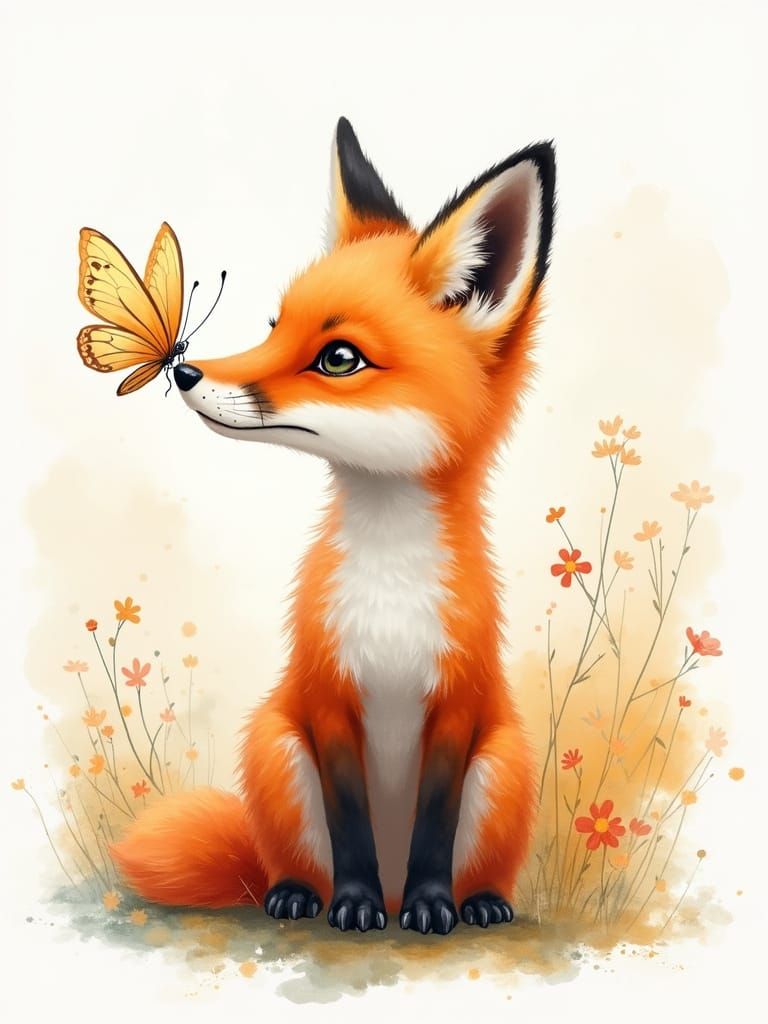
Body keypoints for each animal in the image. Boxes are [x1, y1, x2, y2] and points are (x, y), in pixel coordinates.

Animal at [111, 117, 556, 935]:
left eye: (339, 357)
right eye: (272, 326)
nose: (185, 371)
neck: (388, 581)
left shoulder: (456, 708)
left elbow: (435, 828)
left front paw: (433, 906)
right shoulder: (326, 700)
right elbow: (349, 826)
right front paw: (351, 905)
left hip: (504, 761)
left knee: (476, 863)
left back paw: (473, 901)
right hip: (275, 744)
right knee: (292, 865)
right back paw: (301, 895)